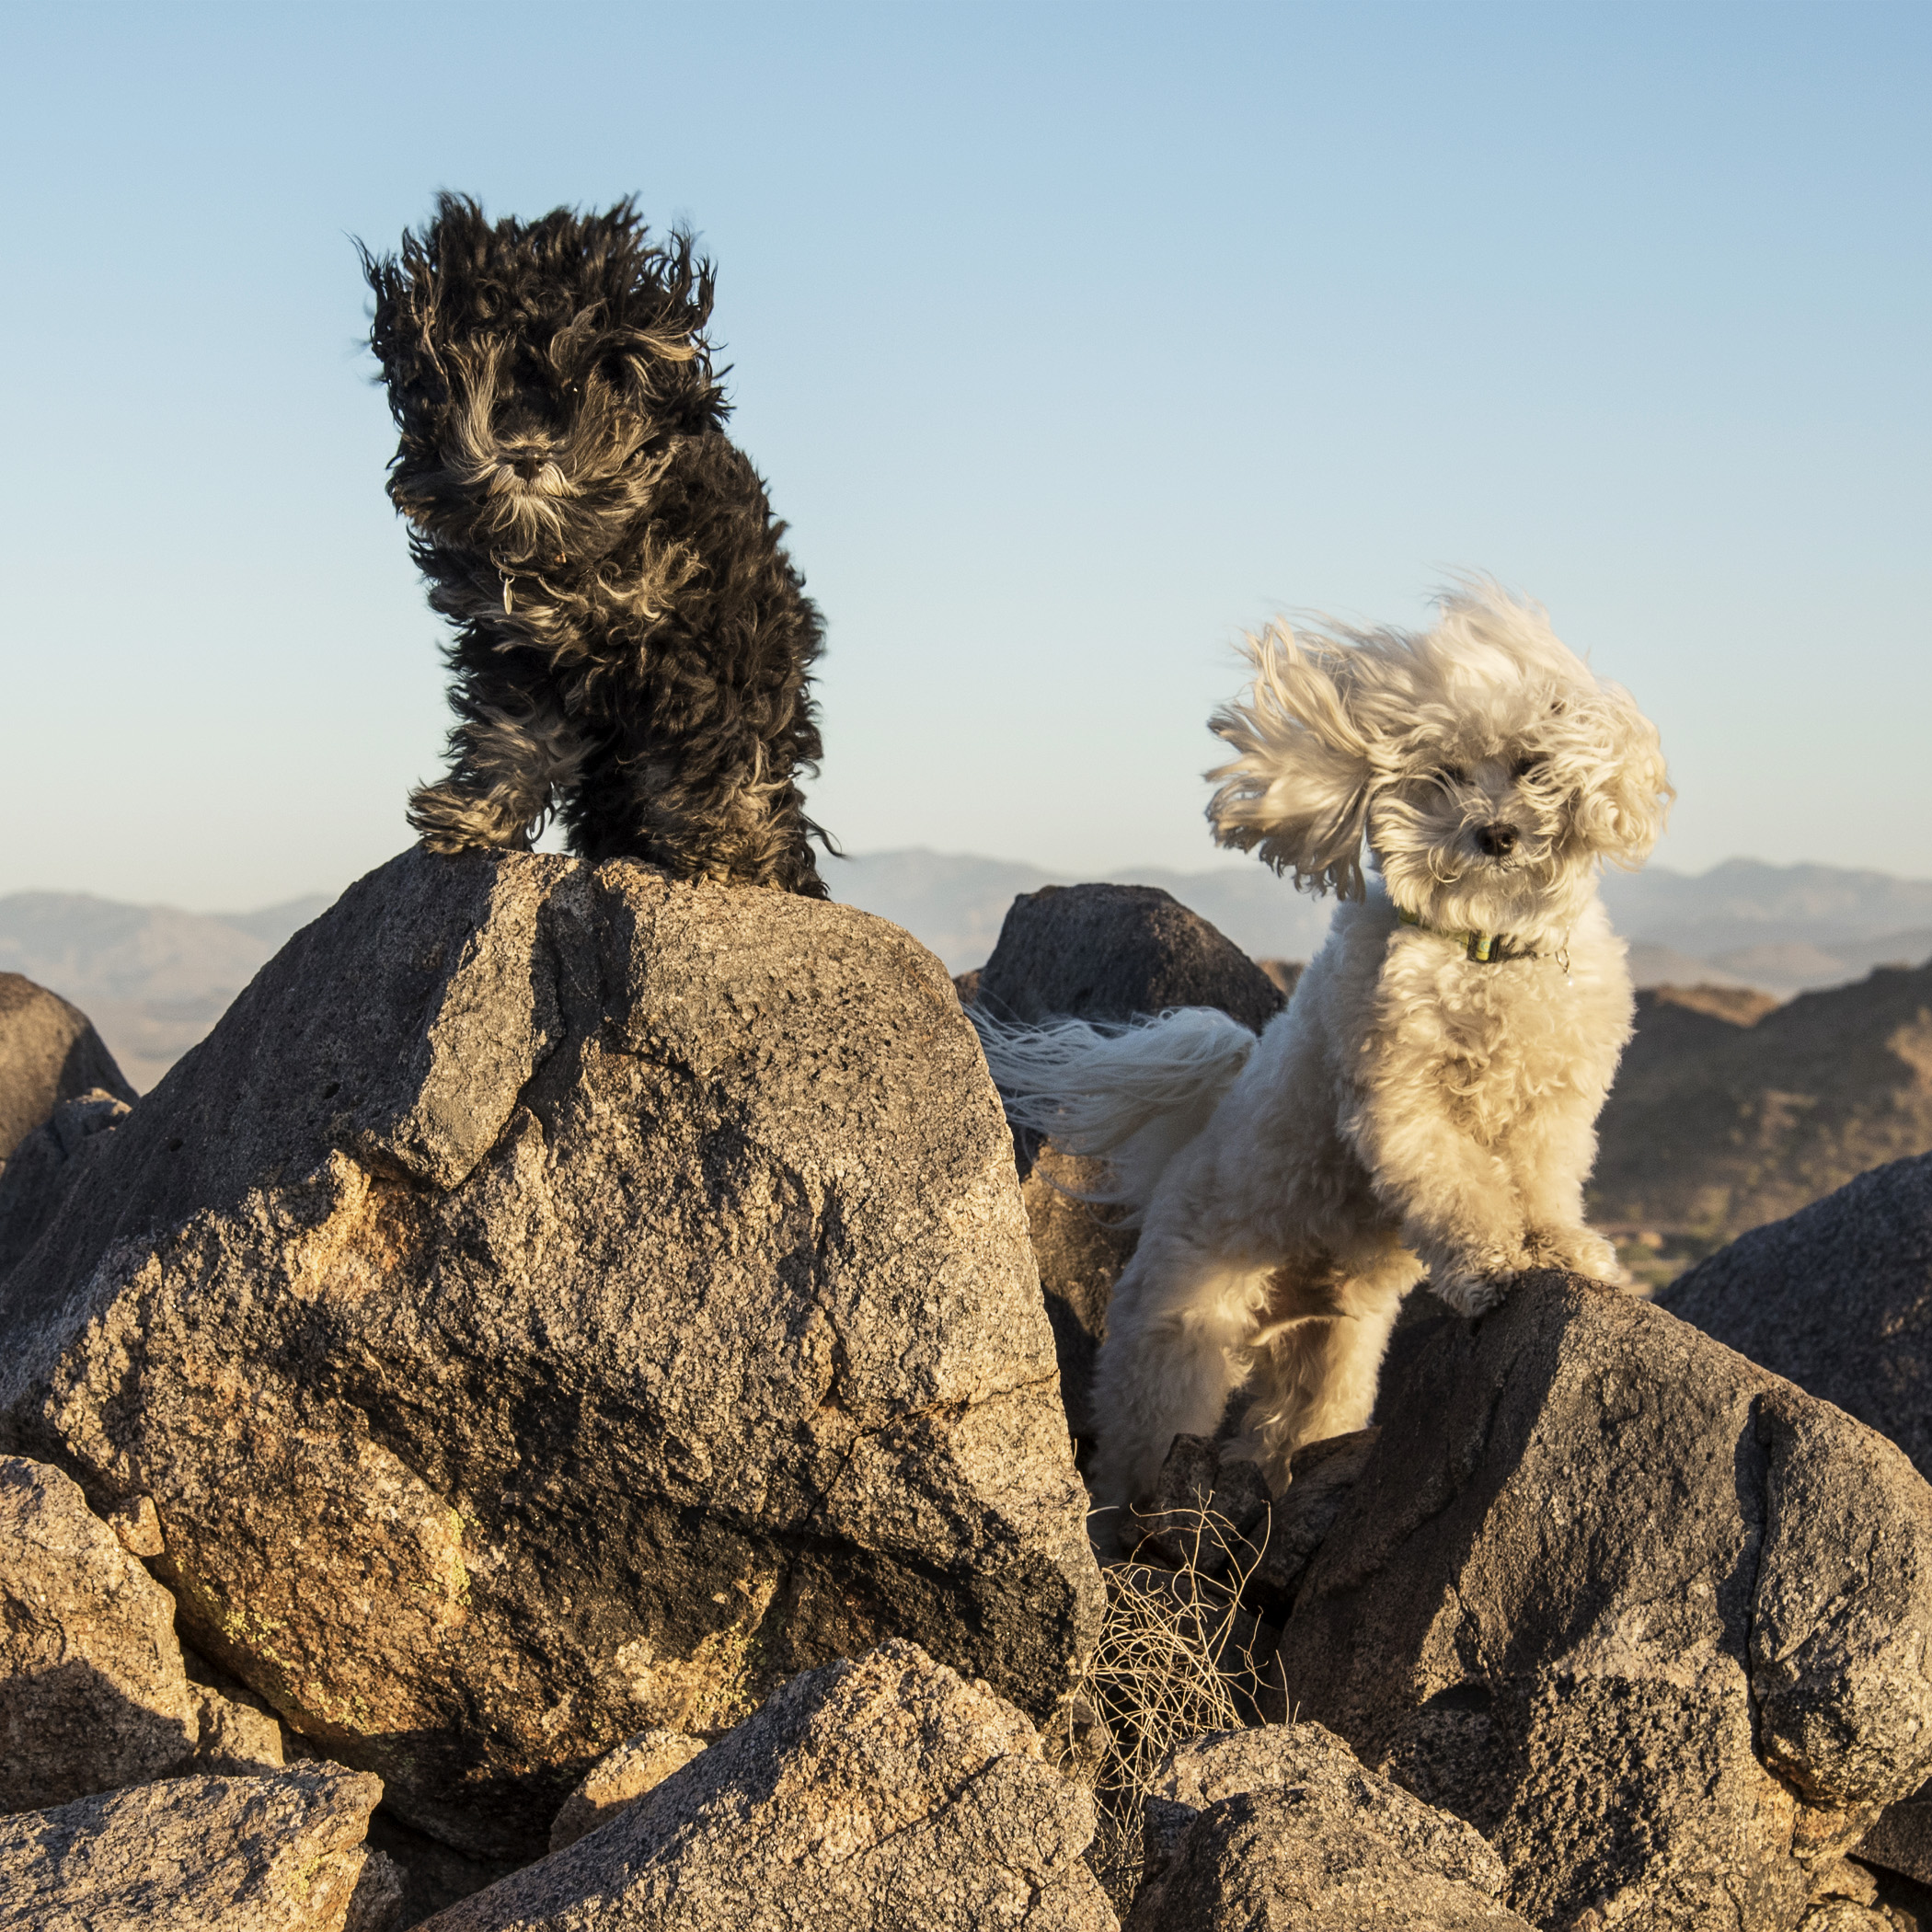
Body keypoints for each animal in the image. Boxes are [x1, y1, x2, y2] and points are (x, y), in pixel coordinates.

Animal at [364, 194, 834, 888]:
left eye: (576, 387)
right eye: (487, 380)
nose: (526, 454)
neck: (576, 553)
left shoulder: (706, 639)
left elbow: (713, 742)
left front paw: (721, 847)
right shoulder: (513, 643)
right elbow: (513, 732)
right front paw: (477, 815)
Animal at [989, 580, 1669, 1545]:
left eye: (1533, 762)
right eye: (1443, 774)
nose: (1496, 835)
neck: (1487, 948)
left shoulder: (1556, 1107)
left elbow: (1543, 1182)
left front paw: (1564, 1248)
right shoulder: (1401, 1104)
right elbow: (1458, 1187)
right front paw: (1491, 1266)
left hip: (1334, 1355)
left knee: (1294, 1427)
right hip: (1180, 1330)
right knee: (1139, 1437)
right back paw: (1133, 1529)